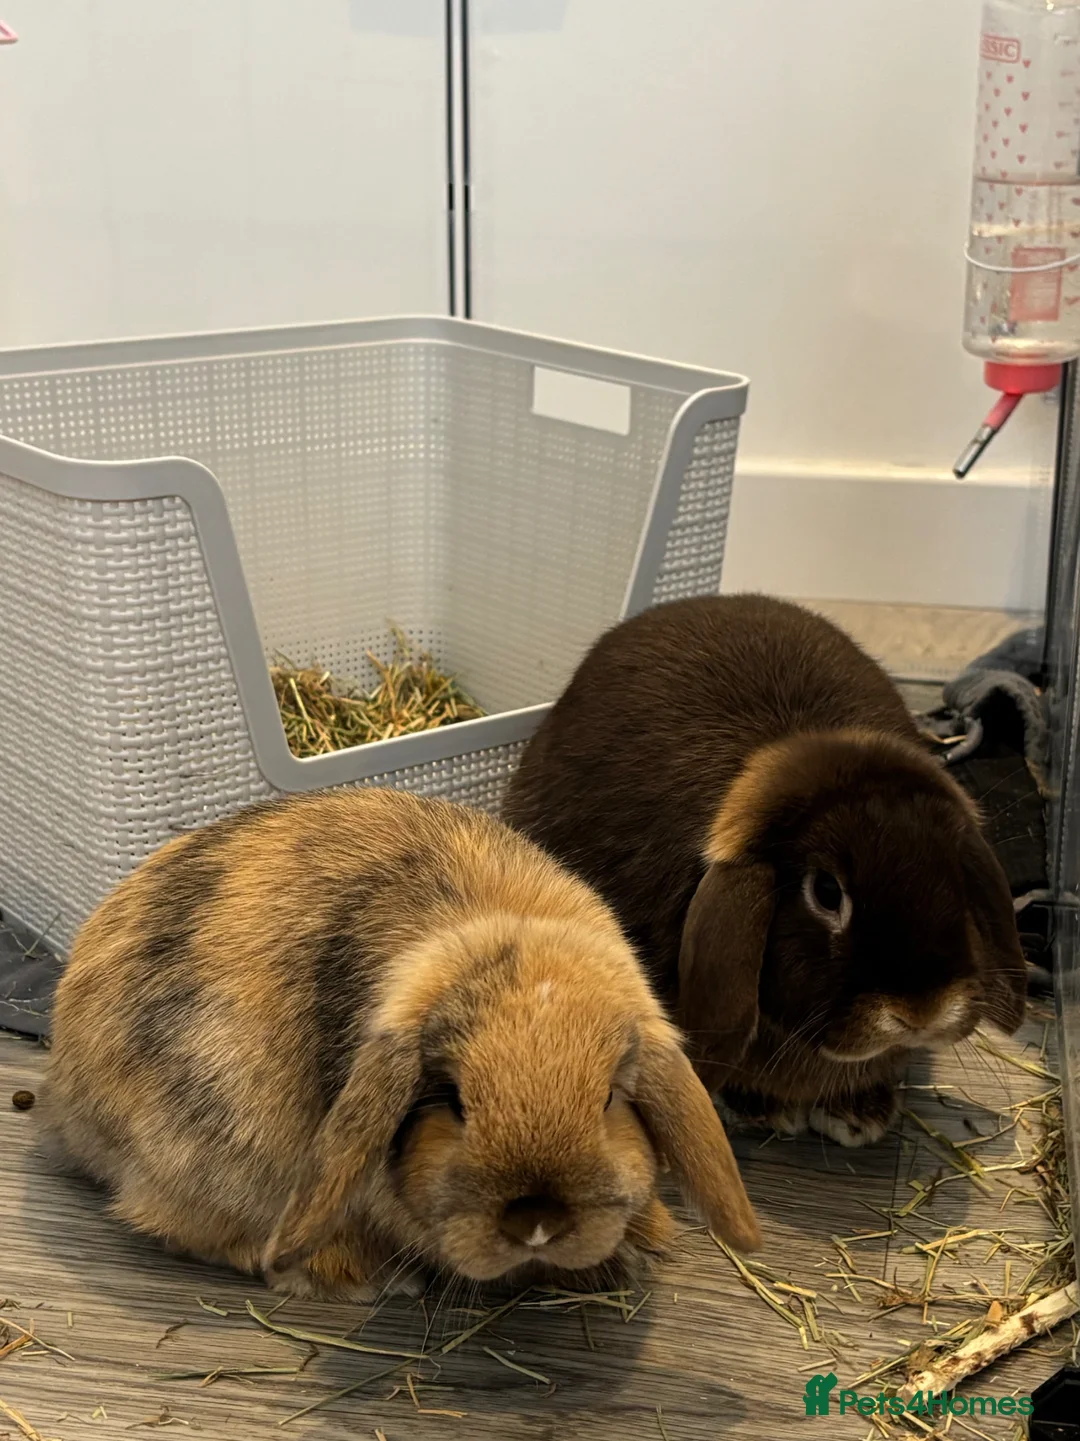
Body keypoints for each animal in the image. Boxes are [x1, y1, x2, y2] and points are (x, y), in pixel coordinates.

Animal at [39, 786, 761, 1300]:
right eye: (452, 1100)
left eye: (610, 1098)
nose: (536, 1223)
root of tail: (67, 1100)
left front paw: (643, 1245)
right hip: (212, 1158)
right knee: (193, 1232)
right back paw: (356, 1276)